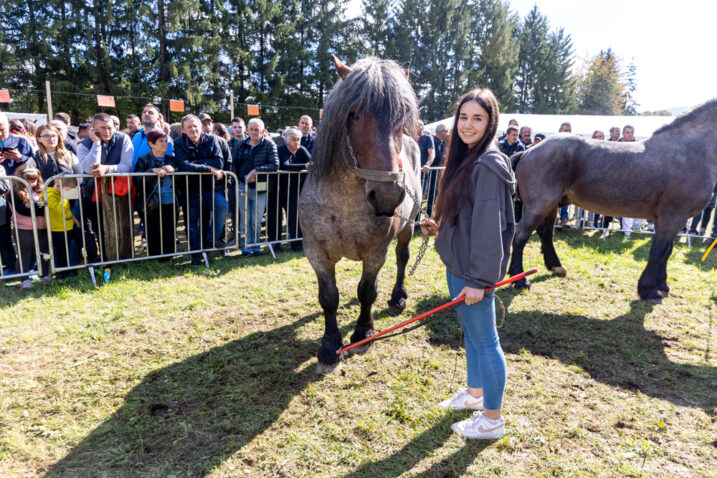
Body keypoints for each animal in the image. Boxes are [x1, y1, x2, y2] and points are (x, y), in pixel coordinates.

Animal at [300, 57, 422, 374]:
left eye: (402, 116)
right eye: (353, 114)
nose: (387, 195)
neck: (344, 203)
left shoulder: (376, 252)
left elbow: (367, 291)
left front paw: (363, 332)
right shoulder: (316, 252)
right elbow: (328, 298)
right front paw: (330, 345)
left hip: (408, 228)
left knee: (402, 258)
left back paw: (397, 297)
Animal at [506, 99, 716, 304]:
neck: (691, 150)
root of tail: (529, 151)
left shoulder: (673, 220)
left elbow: (667, 251)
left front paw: (662, 286)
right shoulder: (672, 217)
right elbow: (658, 252)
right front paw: (649, 290)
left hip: (551, 205)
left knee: (545, 233)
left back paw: (556, 267)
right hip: (539, 204)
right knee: (520, 235)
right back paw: (520, 280)